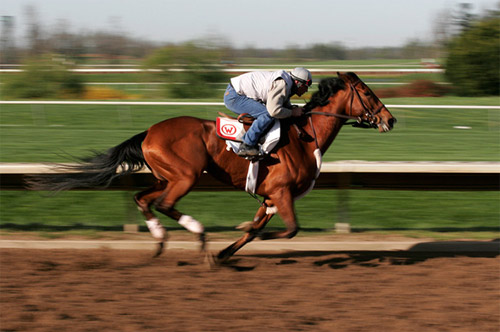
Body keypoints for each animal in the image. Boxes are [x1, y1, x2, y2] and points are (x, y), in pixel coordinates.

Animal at [28, 72, 394, 264]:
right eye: (367, 92)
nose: (390, 119)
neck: (306, 138)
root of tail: (149, 132)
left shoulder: (270, 198)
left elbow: (254, 229)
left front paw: (223, 253)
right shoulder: (281, 192)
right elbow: (287, 230)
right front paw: (243, 240)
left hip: (165, 176)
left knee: (142, 199)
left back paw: (161, 242)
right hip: (185, 175)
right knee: (163, 204)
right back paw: (197, 232)